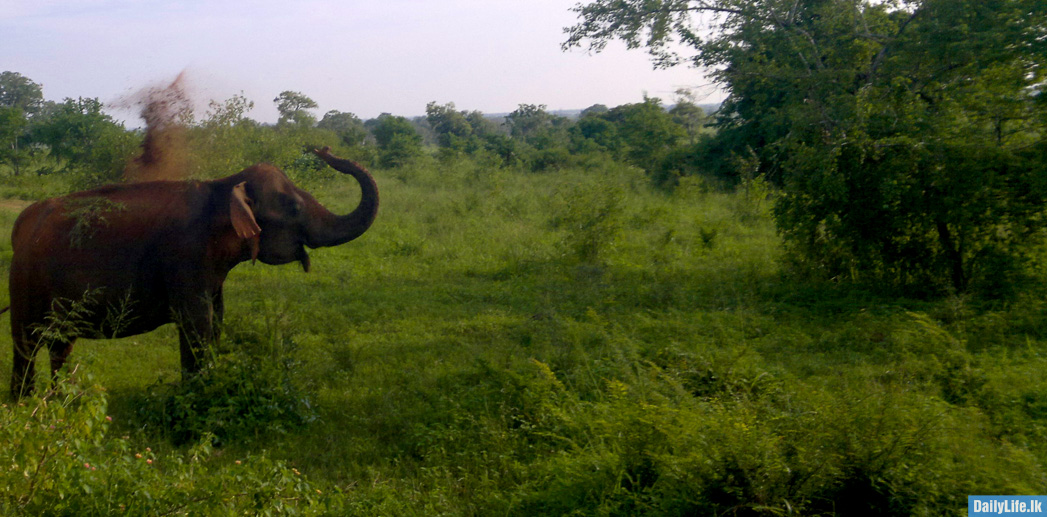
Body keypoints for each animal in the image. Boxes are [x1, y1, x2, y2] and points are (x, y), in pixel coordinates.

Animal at [7, 147, 376, 397]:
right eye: (295, 207)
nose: (323, 150)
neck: (224, 186)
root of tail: (21, 223)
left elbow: (217, 319)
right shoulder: (185, 256)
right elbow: (198, 323)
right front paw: (199, 396)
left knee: (60, 343)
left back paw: (60, 401)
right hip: (24, 279)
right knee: (26, 344)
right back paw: (25, 405)